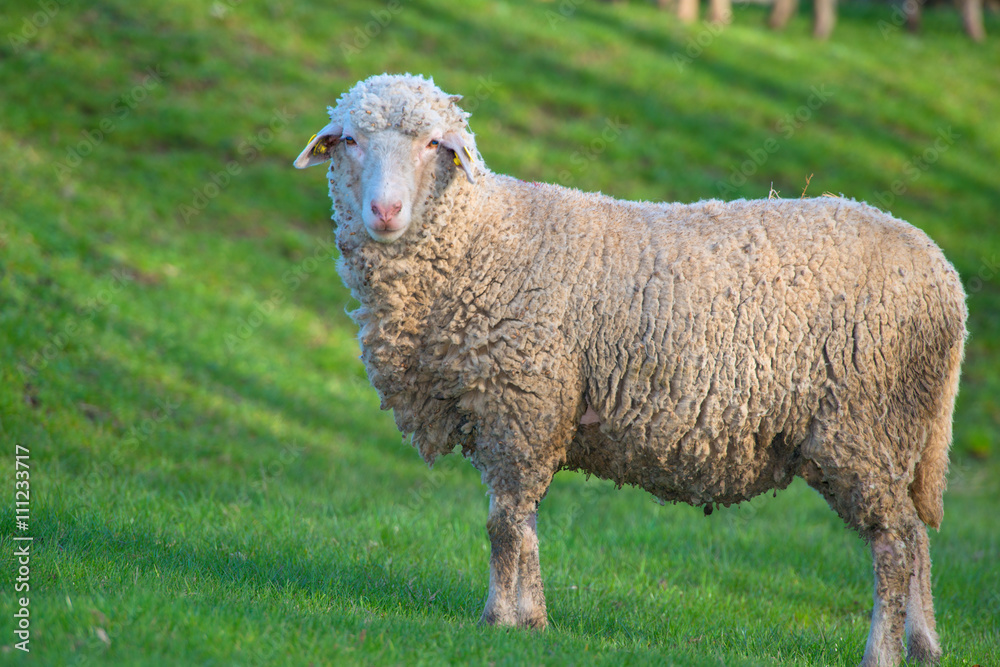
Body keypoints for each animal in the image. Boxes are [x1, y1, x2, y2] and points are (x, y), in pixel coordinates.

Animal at [294, 73, 967, 666]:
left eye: (434, 144)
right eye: (348, 140)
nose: (385, 210)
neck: (481, 241)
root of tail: (945, 277)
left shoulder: (520, 407)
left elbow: (504, 524)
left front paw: (499, 621)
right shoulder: (520, 414)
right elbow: (523, 524)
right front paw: (533, 622)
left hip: (863, 425)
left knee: (895, 547)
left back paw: (882, 653)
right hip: (895, 434)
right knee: (919, 539)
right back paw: (926, 646)